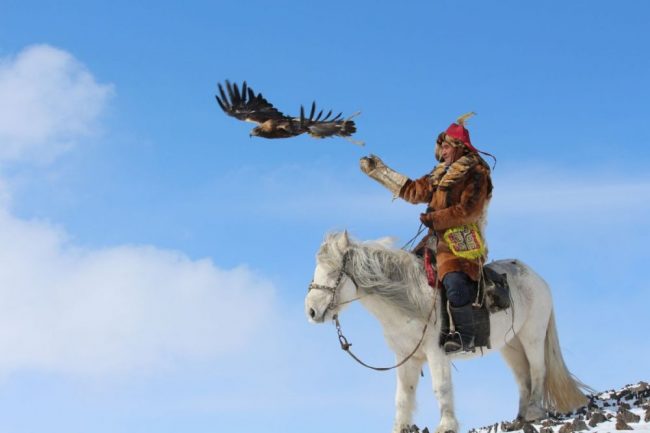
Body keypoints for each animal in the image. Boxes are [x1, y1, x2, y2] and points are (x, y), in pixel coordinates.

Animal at [305, 231, 590, 433]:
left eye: (334, 271)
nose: (311, 311)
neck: (409, 297)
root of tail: (538, 278)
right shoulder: (406, 357)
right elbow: (403, 396)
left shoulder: (436, 351)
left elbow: (440, 387)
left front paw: (446, 426)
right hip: (511, 344)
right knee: (523, 378)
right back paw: (519, 419)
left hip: (532, 334)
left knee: (538, 369)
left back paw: (533, 412)